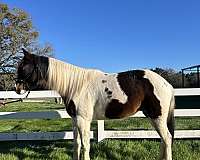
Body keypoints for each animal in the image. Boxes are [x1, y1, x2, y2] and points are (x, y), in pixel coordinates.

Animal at [15, 48, 175, 160]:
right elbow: (76, 144)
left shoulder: (83, 120)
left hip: (157, 117)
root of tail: (167, 84)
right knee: (164, 139)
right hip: (153, 116)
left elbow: (85, 145)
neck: (76, 85)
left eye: (23, 66)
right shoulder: (75, 120)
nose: (17, 88)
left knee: (167, 138)